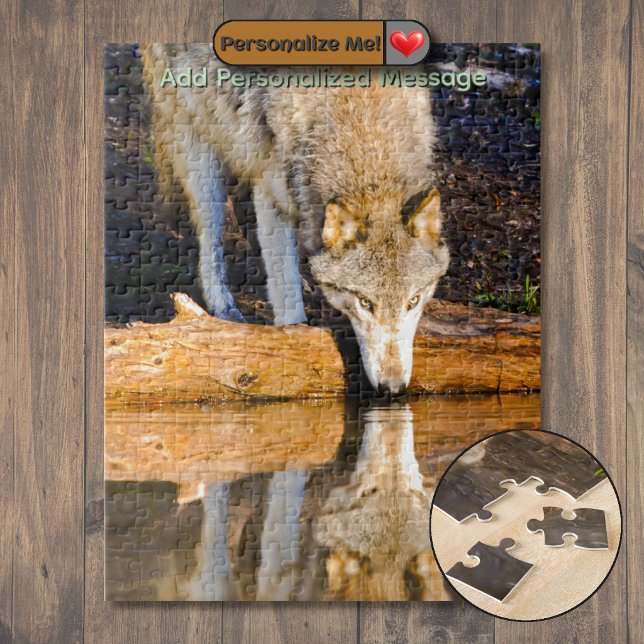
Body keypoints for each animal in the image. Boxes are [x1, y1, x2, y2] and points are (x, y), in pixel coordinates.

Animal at [141, 44, 449, 394]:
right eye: (365, 302)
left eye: (413, 300)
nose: (393, 387)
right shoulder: (271, 194)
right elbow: (285, 292)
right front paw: (295, 346)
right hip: (199, 149)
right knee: (210, 238)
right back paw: (223, 306)